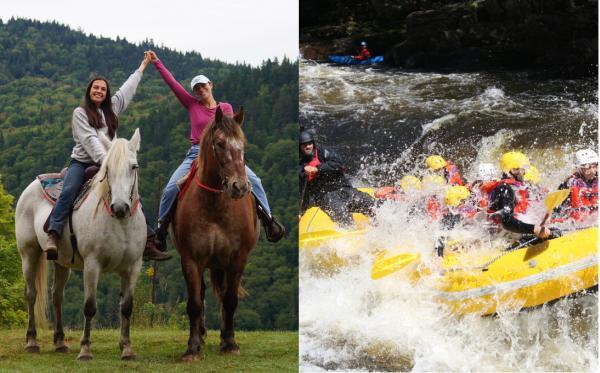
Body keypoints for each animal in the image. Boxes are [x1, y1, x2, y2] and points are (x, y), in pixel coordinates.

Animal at [14, 129, 146, 358]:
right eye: (107, 169)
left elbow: (126, 307)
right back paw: (31, 342)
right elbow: (89, 307)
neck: (120, 223)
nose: (120, 207)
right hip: (29, 254)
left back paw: (60, 342)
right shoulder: (92, 265)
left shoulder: (133, 267)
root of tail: (33, 185)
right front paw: (85, 350)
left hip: (60, 262)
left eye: (134, 166)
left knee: (57, 297)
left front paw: (127, 348)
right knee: (31, 295)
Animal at [171, 105, 260, 360]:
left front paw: (229, 343)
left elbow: (230, 300)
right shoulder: (190, 258)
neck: (214, 206)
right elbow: (194, 303)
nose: (240, 187)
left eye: (243, 143)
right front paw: (192, 348)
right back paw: (200, 336)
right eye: (219, 143)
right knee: (201, 294)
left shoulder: (238, 258)